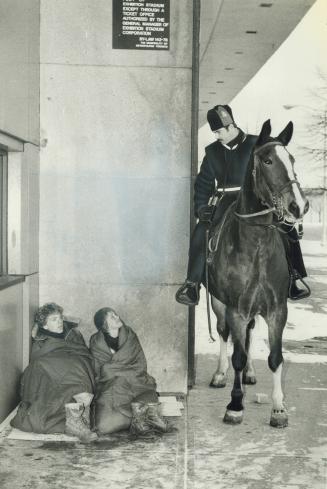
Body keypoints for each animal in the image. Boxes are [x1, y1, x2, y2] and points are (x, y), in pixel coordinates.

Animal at [209, 119, 308, 428]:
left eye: (292, 159)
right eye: (267, 160)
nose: (299, 206)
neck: (257, 247)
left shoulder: (278, 310)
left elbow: (275, 358)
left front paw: (278, 408)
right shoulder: (236, 309)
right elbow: (237, 355)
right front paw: (235, 405)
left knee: (250, 336)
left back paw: (250, 374)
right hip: (219, 304)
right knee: (225, 334)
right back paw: (220, 374)